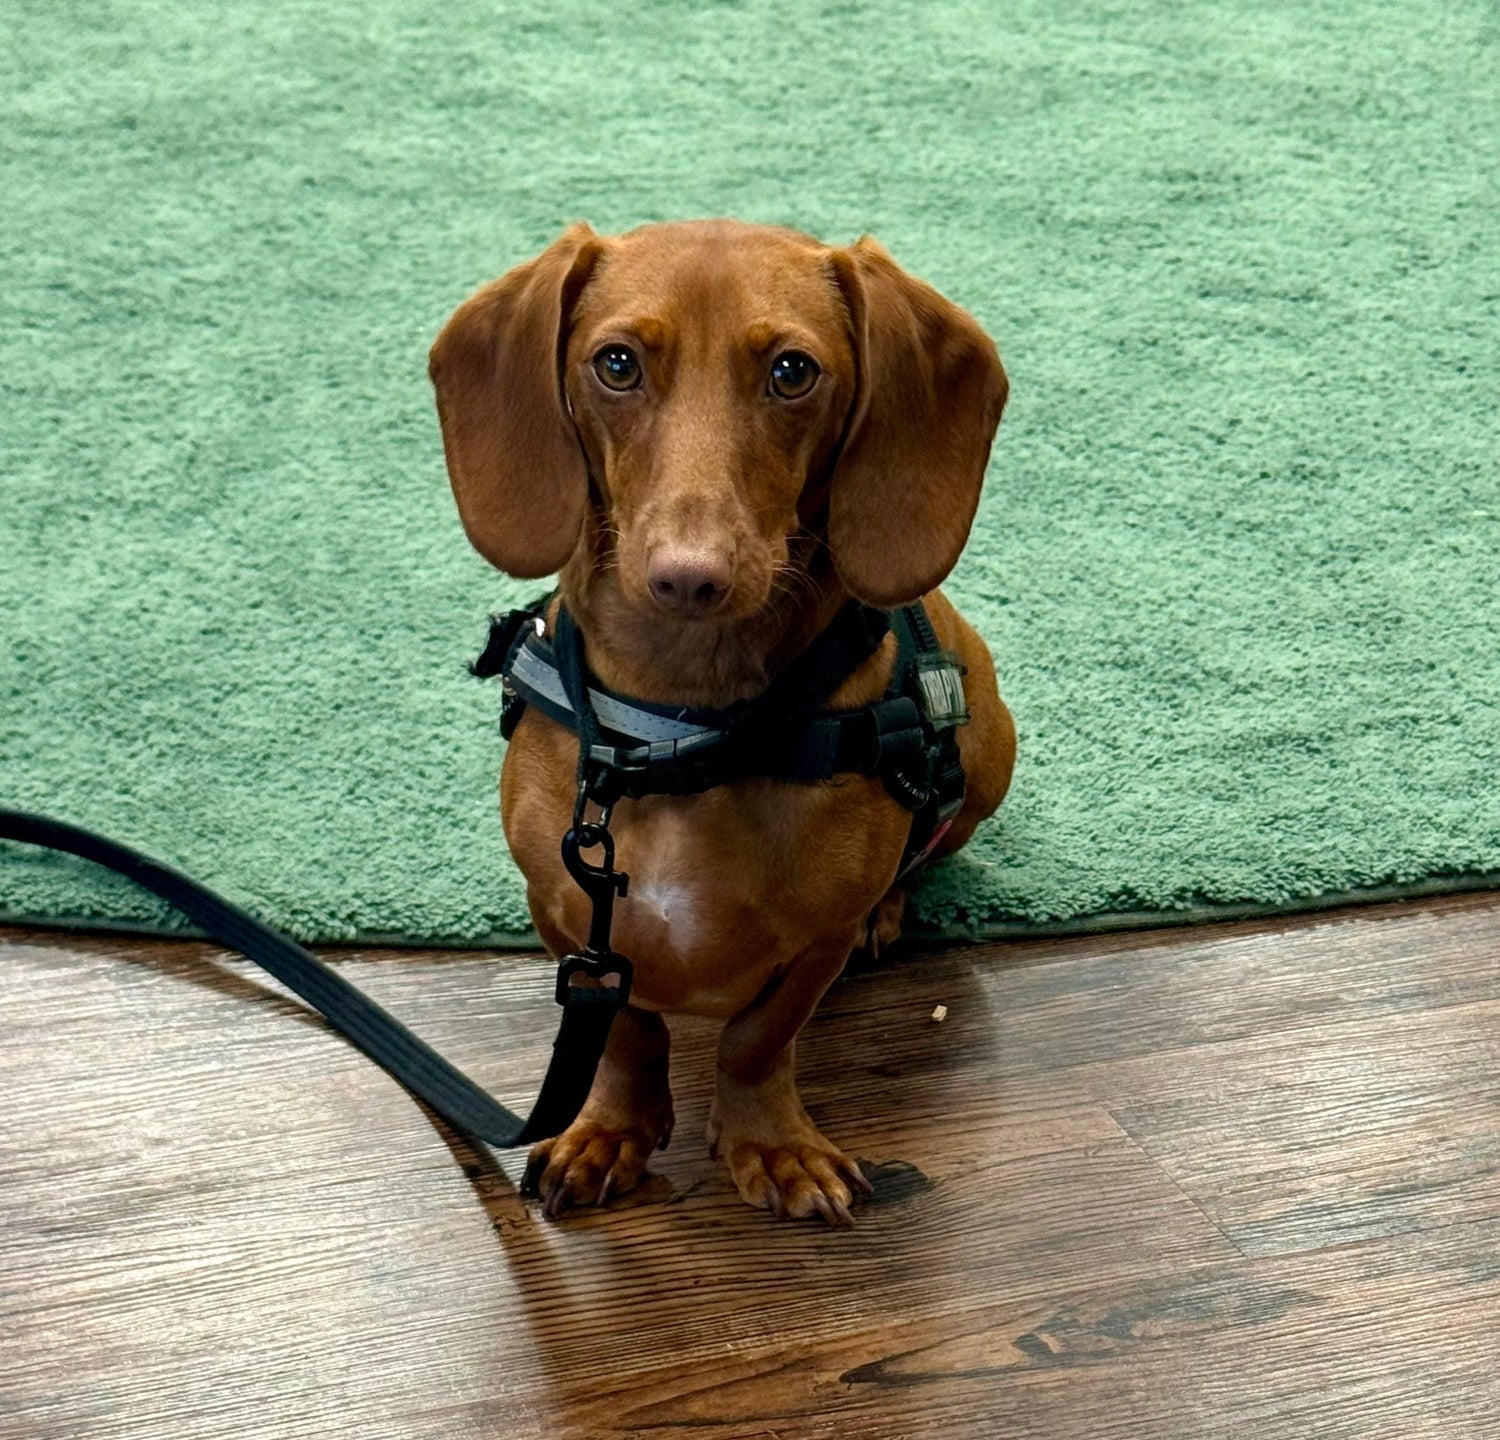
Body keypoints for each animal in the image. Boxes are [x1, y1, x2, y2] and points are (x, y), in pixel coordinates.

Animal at [430, 219, 1015, 1225]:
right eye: (616, 364)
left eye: (792, 372)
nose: (688, 577)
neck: (681, 728)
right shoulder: (568, 917)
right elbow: (627, 1032)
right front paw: (608, 1131)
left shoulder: (814, 946)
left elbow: (754, 1039)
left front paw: (770, 1145)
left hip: (987, 752)